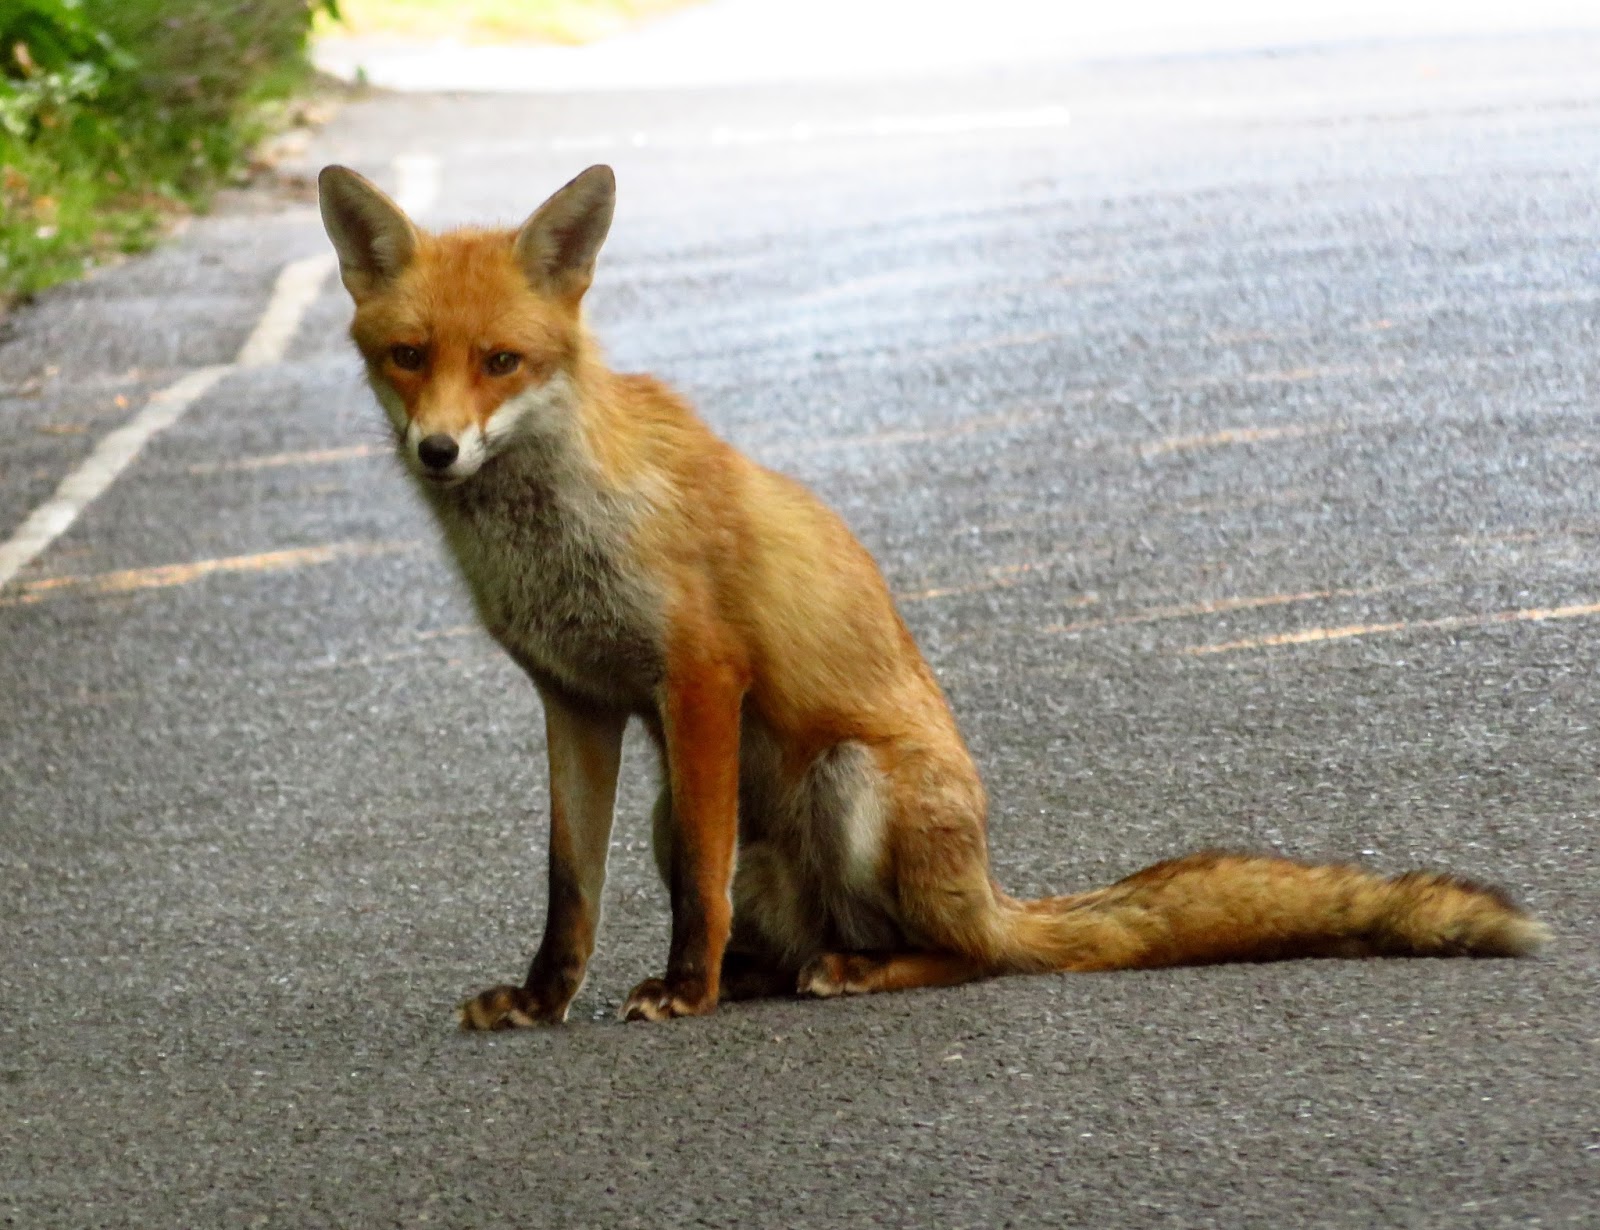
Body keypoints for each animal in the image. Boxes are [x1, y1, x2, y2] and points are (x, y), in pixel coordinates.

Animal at [317, 162, 1549, 1028]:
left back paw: (849, 972)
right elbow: (568, 888)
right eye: (409, 355)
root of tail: (993, 889)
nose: (438, 451)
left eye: (503, 362)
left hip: (850, 782)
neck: (556, 533)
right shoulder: (575, 701)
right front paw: (542, 1002)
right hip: (694, 814)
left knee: (959, 960)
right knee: (781, 939)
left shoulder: (701, 676)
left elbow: (696, 895)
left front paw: (681, 994)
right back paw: (771, 973)